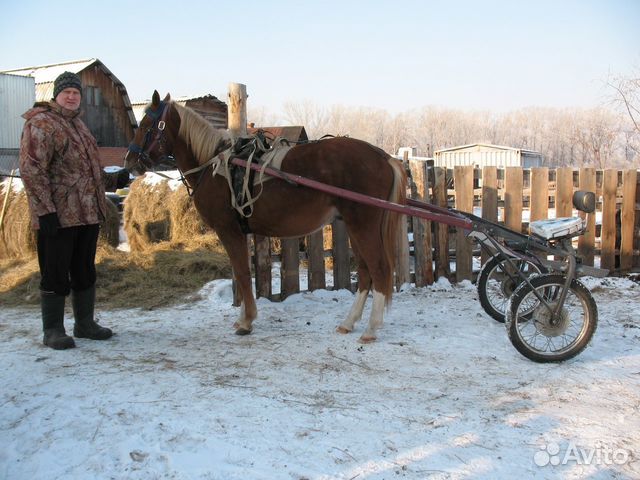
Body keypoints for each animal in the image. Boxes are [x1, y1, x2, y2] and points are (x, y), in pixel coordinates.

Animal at [122, 90, 408, 344]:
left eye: (147, 124)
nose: (129, 161)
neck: (216, 166)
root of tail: (384, 157)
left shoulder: (229, 231)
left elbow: (241, 273)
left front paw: (246, 322)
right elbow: (244, 273)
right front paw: (243, 318)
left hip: (362, 226)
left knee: (379, 269)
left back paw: (370, 329)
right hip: (354, 227)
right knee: (365, 272)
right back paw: (349, 322)